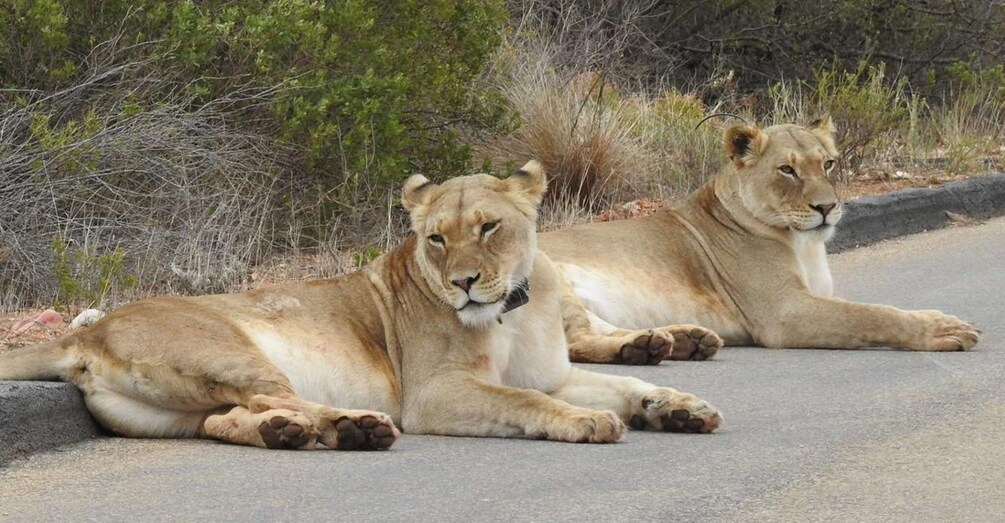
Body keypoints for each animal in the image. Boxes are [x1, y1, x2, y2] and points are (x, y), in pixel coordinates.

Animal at [0, 162, 722, 450]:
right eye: (435, 239)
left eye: (488, 227)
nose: (464, 283)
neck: (513, 308)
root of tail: (90, 333)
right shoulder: (434, 394)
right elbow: (527, 402)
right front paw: (586, 422)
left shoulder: (556, 372)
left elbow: (619, 385)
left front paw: (681, 407)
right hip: (226, 351)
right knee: (275, 397)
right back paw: (354, 425)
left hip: (173, 413)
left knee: (229, 419)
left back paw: (293, 435)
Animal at [541, 117, 980, 357]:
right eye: (787, 170)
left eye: (828, 164)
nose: (827, 207)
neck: (804, 245)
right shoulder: (784, 311)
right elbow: (871, 314)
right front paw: (942, 329)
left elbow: (868, 310)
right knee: (575, 342)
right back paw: (645, 349)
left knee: (594, 330)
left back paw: (679, 340)